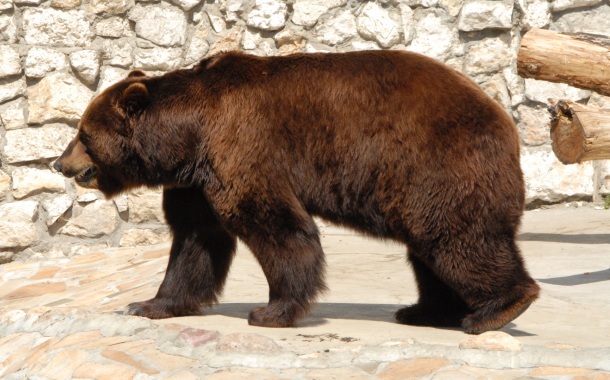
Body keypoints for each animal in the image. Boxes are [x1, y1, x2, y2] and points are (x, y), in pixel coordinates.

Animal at [53, 49, 536, 332]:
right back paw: (425, 311)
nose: (60, 163)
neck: (189, 138)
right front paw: (150, 303)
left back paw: (496, 310)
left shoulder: (244, 146)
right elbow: (196, 241)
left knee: (458, 239)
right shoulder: (195, 183)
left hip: (438, 165)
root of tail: (506, 121)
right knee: (430, 250)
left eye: (82, 134)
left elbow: (278, 228)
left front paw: (271, 311)